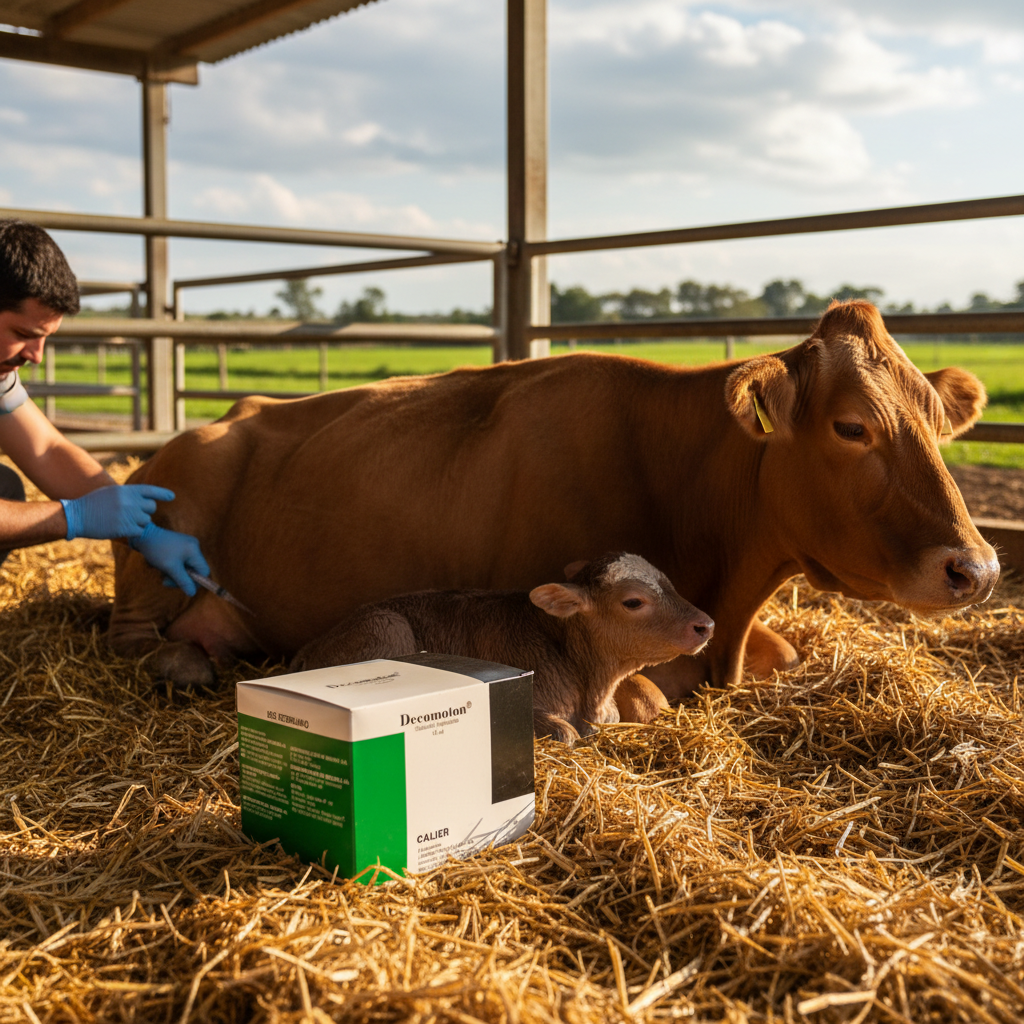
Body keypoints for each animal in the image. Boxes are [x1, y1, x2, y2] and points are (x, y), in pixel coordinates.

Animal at [108, 300, 998, 703]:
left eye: (935, 418)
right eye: (852, 427)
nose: (979, 569)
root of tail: (220, 419)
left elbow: (787, 653)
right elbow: (647, 698)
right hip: (155, 541)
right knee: (140, 637)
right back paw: (188, 661)